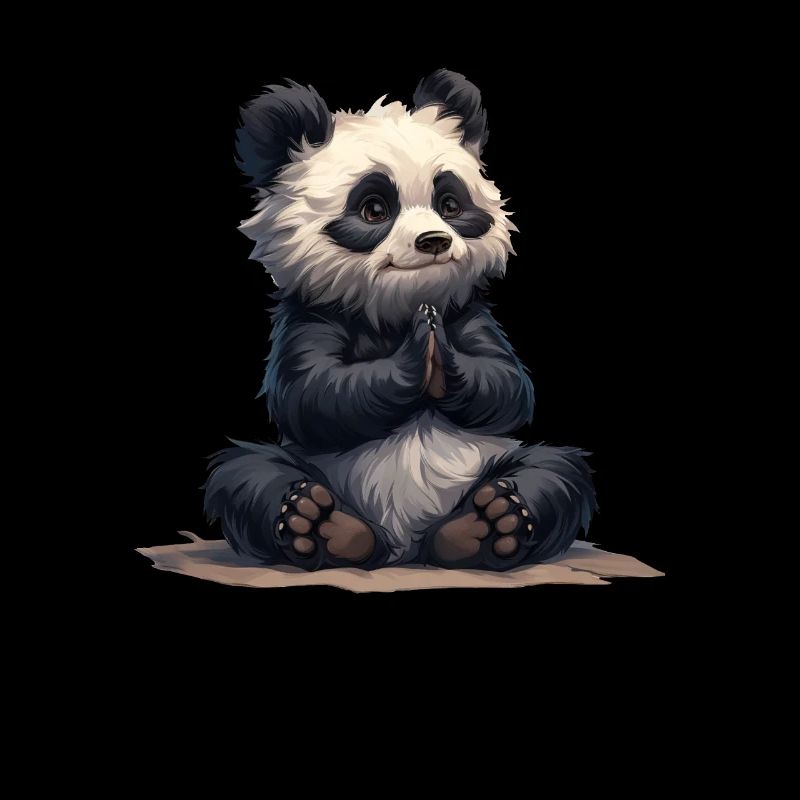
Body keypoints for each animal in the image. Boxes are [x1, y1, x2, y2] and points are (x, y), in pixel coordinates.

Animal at [205, 69, 597, 571]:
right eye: (374, 209)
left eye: (450, 205)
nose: (433, 241)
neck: (397, 306)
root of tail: (405, 546)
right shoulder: (312, 315)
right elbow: (312, 394)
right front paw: (414, 353)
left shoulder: (469, 313)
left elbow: (506, 385)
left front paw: (440, 352)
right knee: (246, 473)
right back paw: (323, 525)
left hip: (493, 462)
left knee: (556, 471)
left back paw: (486, 524)